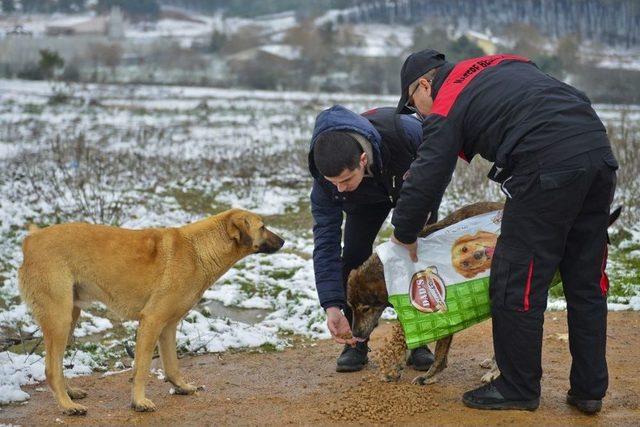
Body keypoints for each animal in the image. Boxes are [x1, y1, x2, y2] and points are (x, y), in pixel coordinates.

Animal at [18, 209, 282, 416]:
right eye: (263, 227)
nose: (284, 242)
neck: (198, 249)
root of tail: (32, 239)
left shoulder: (168, 326)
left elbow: (172, 364)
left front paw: (182, 387)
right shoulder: (152, 321)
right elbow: (142, 368)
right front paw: (139, 402)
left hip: (70, 316)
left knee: (57, 365)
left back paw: (70, 393)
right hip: (60, 320)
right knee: (51, 369)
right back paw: (67, 405)